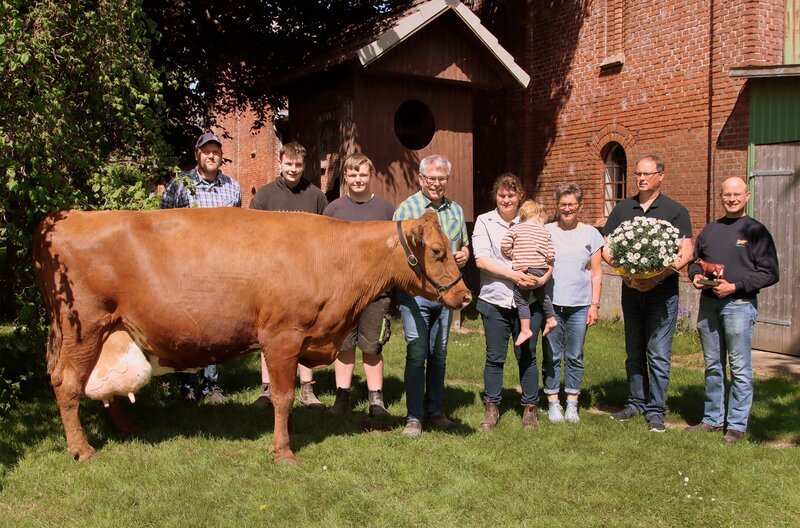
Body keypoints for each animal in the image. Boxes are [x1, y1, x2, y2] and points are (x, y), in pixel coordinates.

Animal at [33, 208, 472, 464]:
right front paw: (283, 451)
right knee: (67, 385)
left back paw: (128, 429)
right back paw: (82, 450)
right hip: (83, 328)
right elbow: (282, 397)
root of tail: (61, 219)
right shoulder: (282, 336)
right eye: (436, 251)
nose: (465, 295)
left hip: (106, 330)